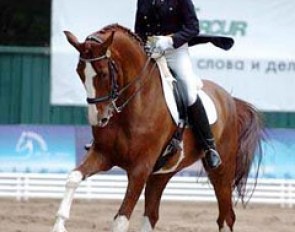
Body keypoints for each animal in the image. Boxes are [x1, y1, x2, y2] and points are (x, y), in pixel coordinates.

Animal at [52, 24, 264, 232]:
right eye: (79, 72)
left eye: (103, 73)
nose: (98, 119)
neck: (133, 103)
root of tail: (229, 99)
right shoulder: (103, 155)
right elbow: (73, 177)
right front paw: (59, 225)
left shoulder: (140, 169)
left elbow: (121, 220)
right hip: (162, 173)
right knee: (152, 215)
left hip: (221, 171)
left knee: (226, 217)